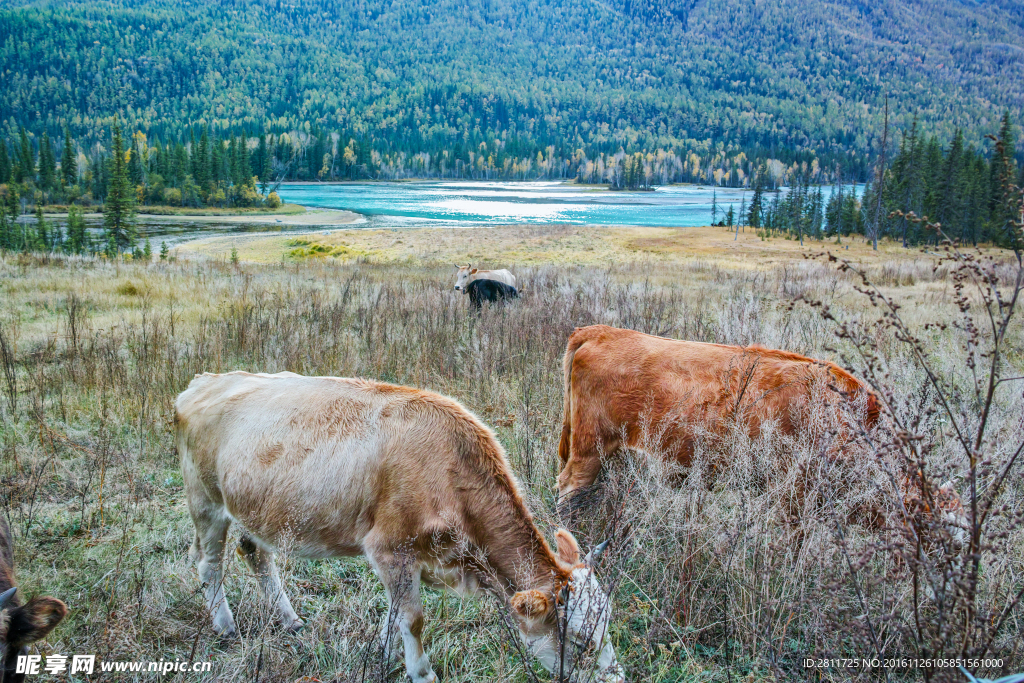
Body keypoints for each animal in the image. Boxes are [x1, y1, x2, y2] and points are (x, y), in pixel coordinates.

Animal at [176, 370, 622, 683]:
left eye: (607, 628)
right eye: (579, 641)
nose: (617, 679)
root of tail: (206, 380)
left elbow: (393, 618)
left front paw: (384, 655)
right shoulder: (390, 549)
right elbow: (411, 619)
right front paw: (421, 672)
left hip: (257, 510)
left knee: (254, 553)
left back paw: (289, 620)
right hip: (206, 503)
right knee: (208, 564)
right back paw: (226, 627)